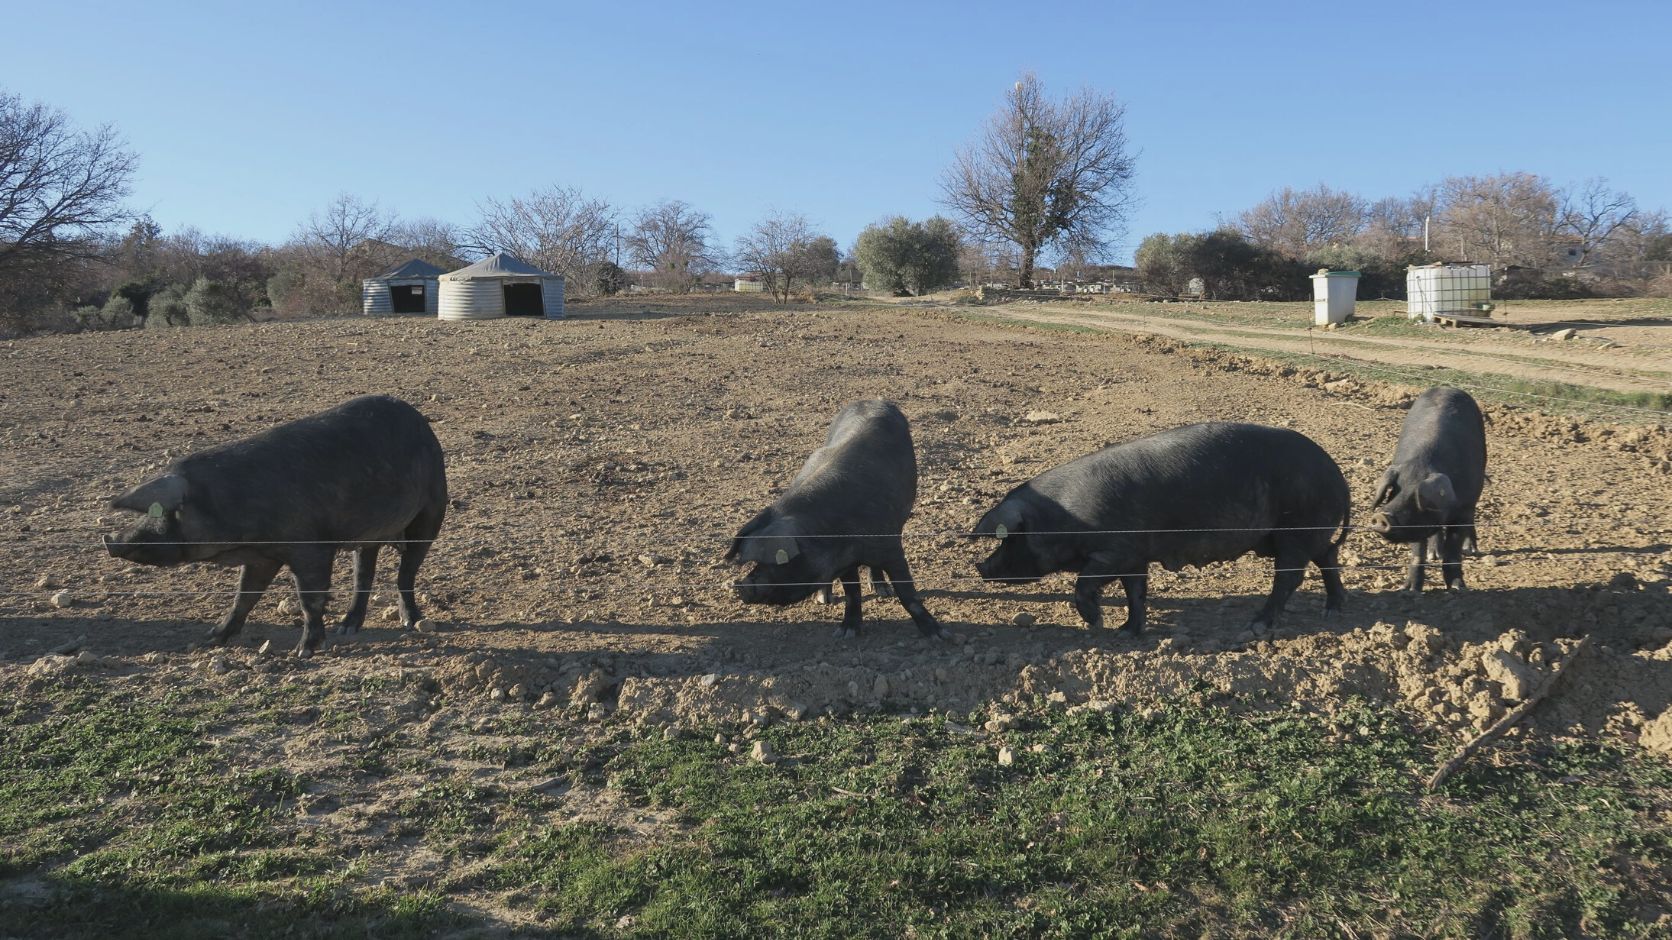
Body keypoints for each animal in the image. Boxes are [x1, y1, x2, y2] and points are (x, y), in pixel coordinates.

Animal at [108, 393, 454, 652]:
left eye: (165, 513)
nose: (112, 541)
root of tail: (422, 422)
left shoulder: (311, 548)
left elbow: (309, 597)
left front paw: (304, 651)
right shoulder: (263, 557)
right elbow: (244, 596)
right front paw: (210, 639)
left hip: (432, 511)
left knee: (406, 573)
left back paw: (412, 622)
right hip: (370, 533)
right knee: (363, 573)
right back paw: (347, 628)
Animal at [725, 394, 949, 635]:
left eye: (780, 564)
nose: (742, 587)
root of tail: (870, 399)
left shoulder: (890, 545)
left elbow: (907, 592)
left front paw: (939, 634)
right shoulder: (843, 560)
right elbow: (852, 592)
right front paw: (846, 632)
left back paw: (881, 590)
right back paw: (824, 598)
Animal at [976, 421, 1350, 632]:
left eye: (1010, 540)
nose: (980, 568)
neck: (1062, 520)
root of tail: (1336, 472)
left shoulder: (1116, 551)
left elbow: (1085, 584)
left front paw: (1098, 624)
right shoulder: (1135, 555)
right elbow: (1136, 591)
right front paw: (1128, 631)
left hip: (1297, 529)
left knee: (1290, 576)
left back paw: (1259, 626)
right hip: (1308, 533)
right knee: (1328, 558)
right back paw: (1332, 611)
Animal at [1371, 384, 1491, 588]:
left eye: (1415, 497)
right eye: (1394, 489)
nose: (1382, 516)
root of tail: (1447, 387)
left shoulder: (1462, 509)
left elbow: (1453, 552)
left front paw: (1458, 587)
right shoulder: (1417, 522)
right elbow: (1417, 552)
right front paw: (1409, 589)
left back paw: (1471, 550)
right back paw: (1435, 554)